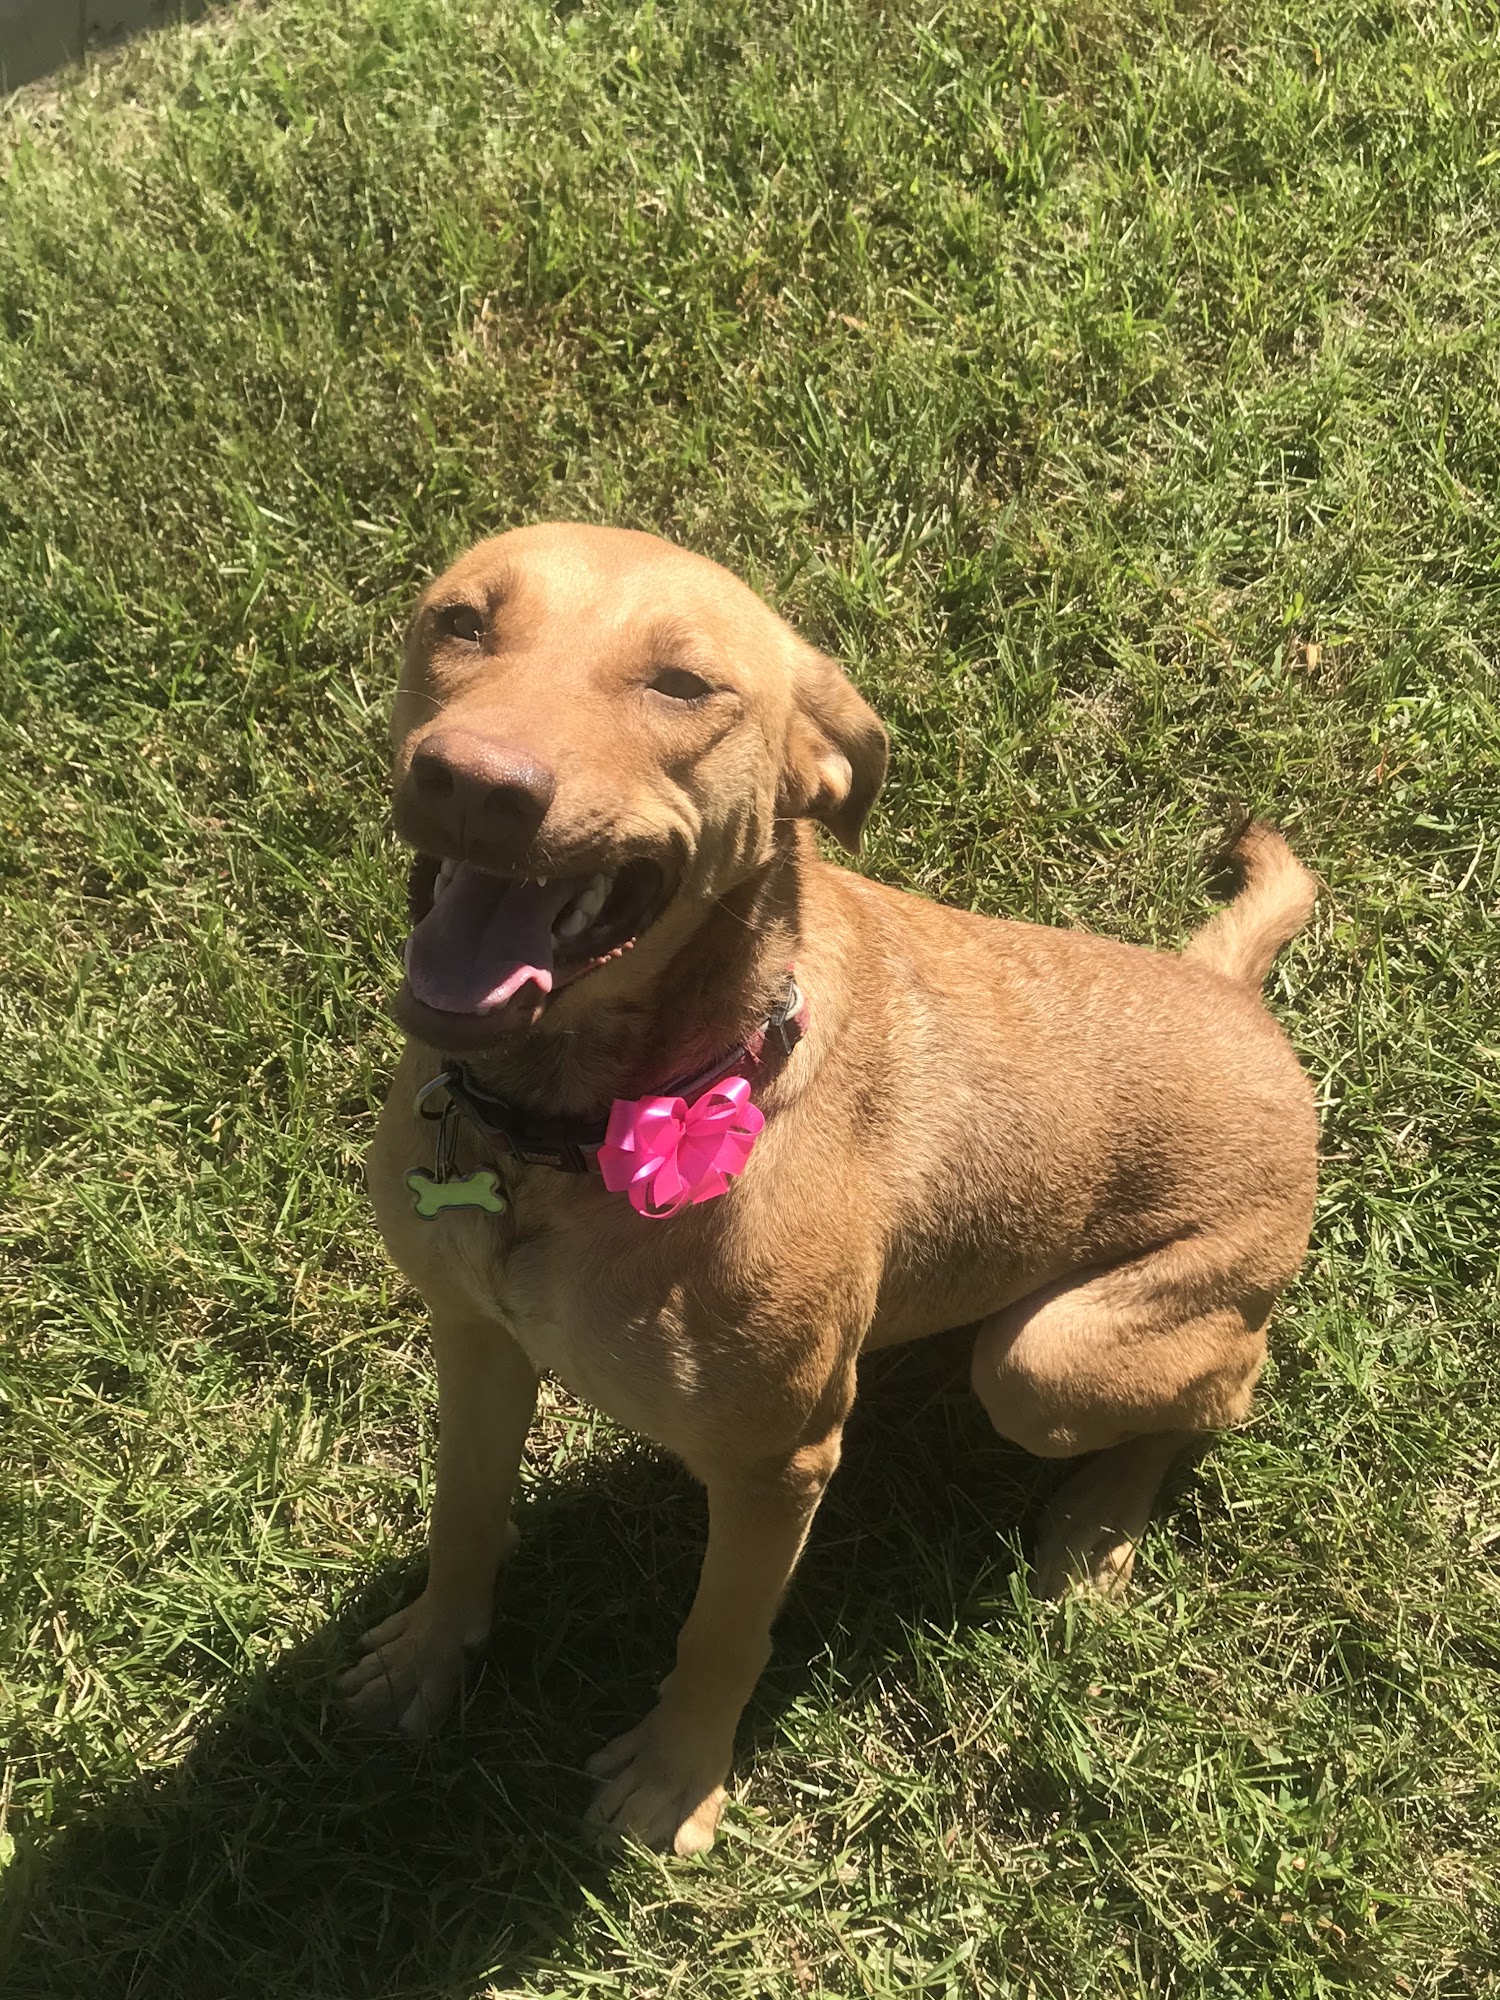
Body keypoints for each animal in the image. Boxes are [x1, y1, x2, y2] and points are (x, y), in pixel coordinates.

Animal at [342, 522, 1318, 1855]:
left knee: (1225, 1385)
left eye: (684, 684)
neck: (564, 1127)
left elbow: (718, 1636)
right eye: (462, 621)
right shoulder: (475, 1340)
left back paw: (1098, 1522)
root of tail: (1232, 993)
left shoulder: (778, 1464)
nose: (475, 782)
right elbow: (464, 1515)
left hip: (1050, 1360)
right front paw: (434, 1653)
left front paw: (677, 1783)